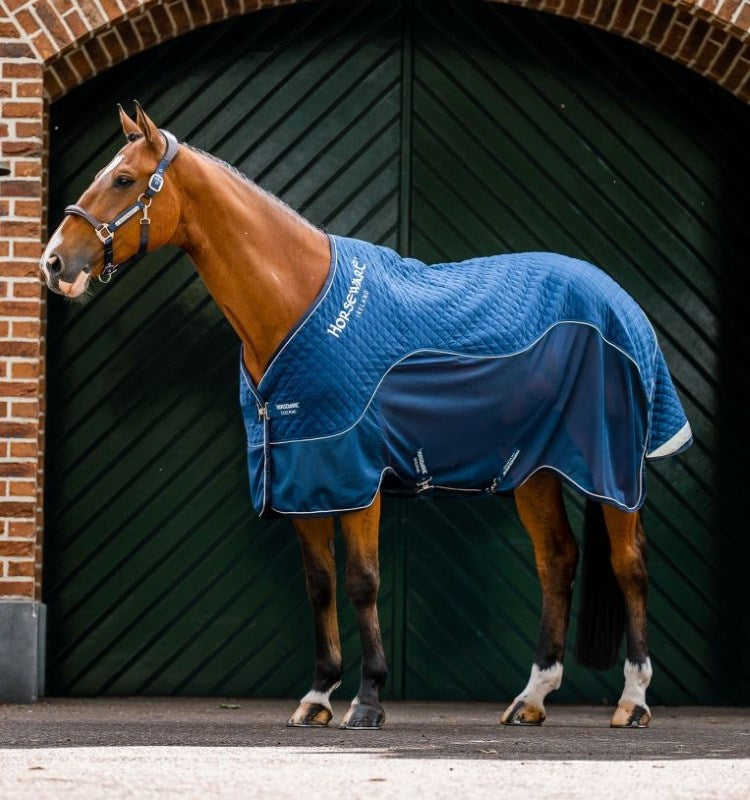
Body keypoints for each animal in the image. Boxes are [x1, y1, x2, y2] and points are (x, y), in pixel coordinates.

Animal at [40, 103, 692, 730]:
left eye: (124, 179)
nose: (54, 263)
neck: (295, 299)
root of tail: (619, 302)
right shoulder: (301, 476)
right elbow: (320, 586)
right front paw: (317, 696)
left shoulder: (355, 475)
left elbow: (362, 582)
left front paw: (369, 699)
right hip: (534, 470)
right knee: (556, 560)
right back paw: (531, 698)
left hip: (611, 470)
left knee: (629, 565)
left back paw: (633, 701)